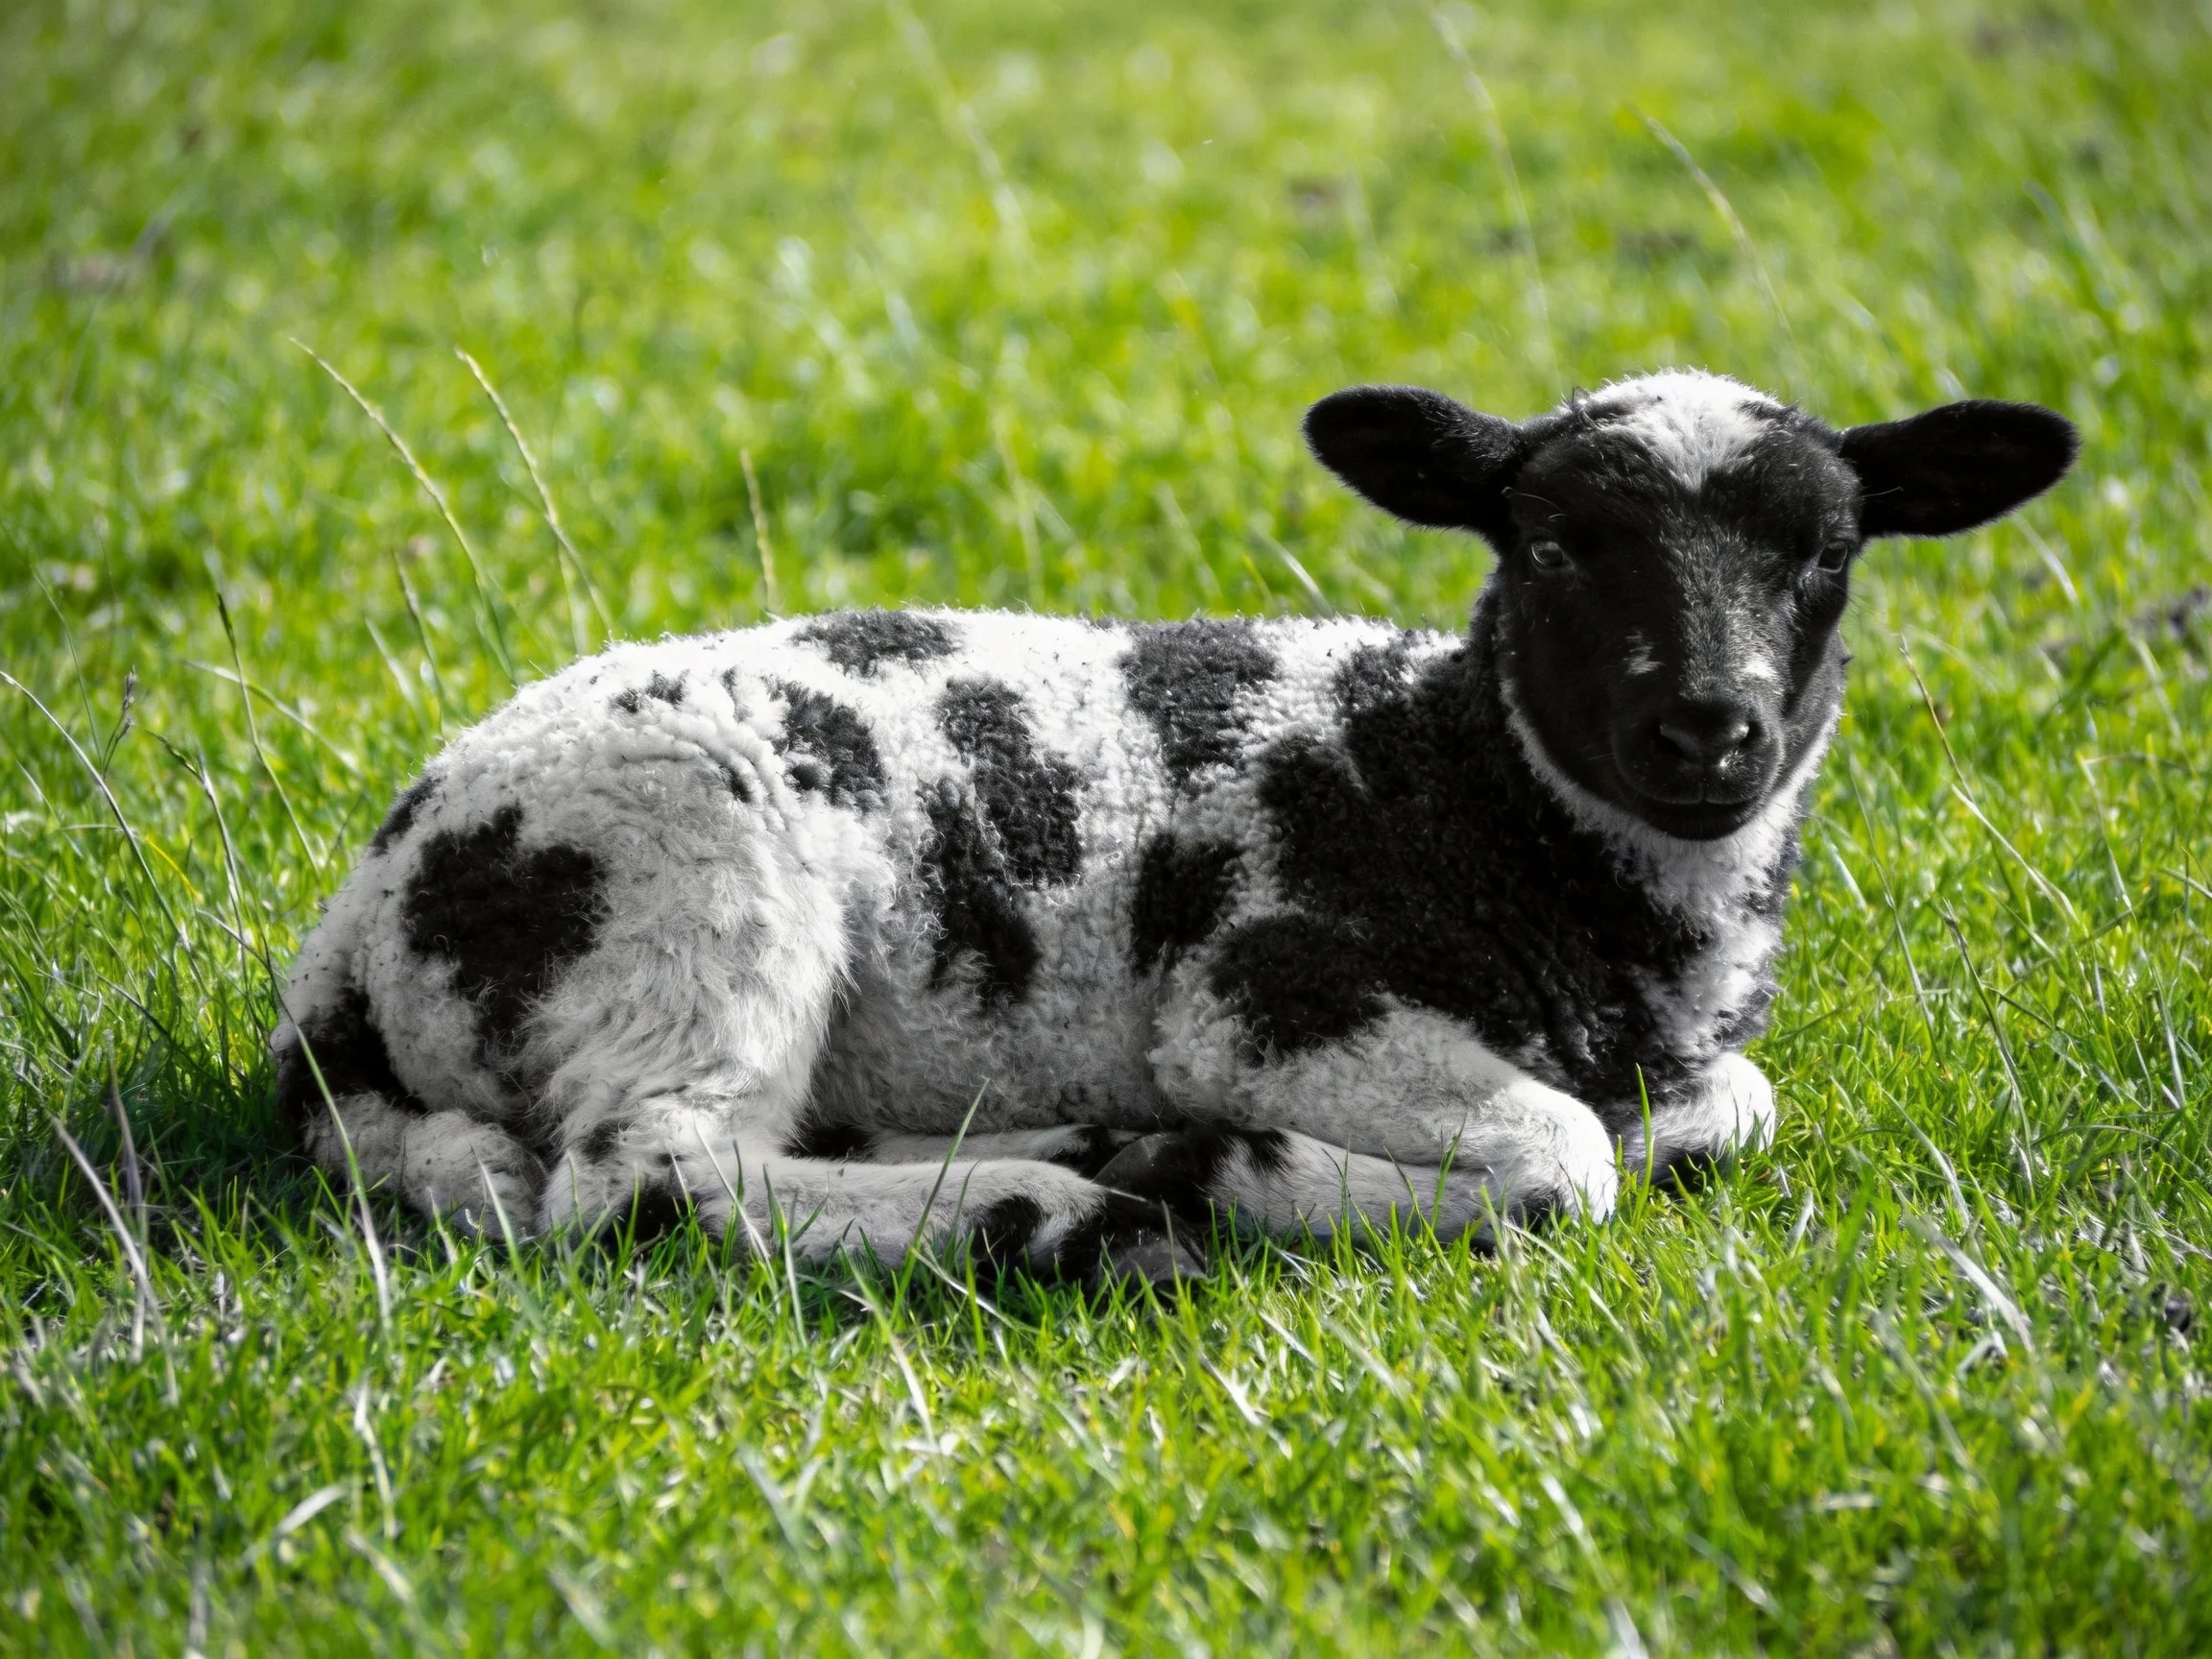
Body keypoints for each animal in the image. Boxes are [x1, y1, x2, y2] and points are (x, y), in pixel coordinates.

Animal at [271, 369, 2076, 1283]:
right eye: (1557, 540)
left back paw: (1060, 1156)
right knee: (646, 1175)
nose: (1707, 730)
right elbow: (1564, 1158)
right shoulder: (1269, 990)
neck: (1461, 796)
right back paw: (1074, 1208)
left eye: (1827, 548)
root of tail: (347, 955)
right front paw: (1242, 1168)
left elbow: (1727, 1108)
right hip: (688, 890)